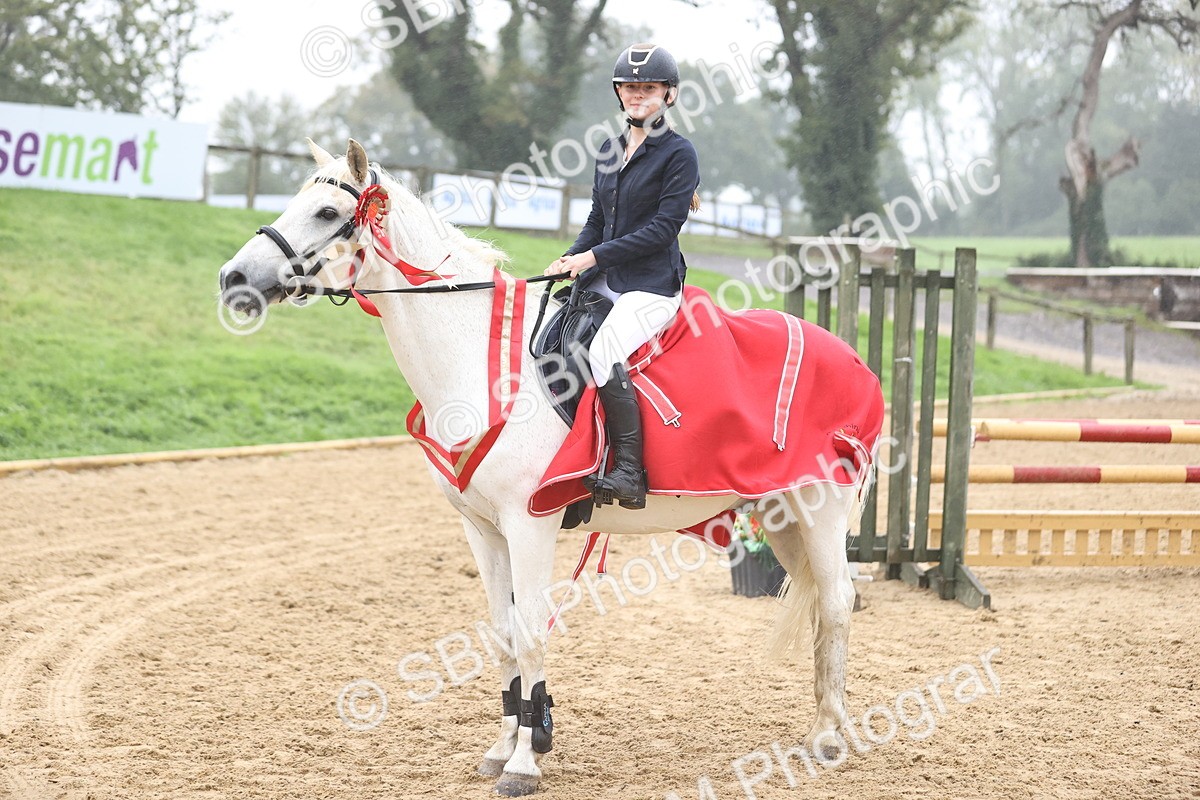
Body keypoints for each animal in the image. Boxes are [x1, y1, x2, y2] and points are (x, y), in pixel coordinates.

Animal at [217, 138, 879, 796]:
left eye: (328, 213)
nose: (233, 279)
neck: (477, 364)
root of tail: (854, 360)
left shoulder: (529, 522)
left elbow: (532, 630)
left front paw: (525, 763)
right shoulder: (483, 529)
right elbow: (503, 633)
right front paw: (509, 743)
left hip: (820, 510)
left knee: (837, 602)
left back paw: (829, 738)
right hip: (781, 515)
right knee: (819, 602)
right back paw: (827, 726)